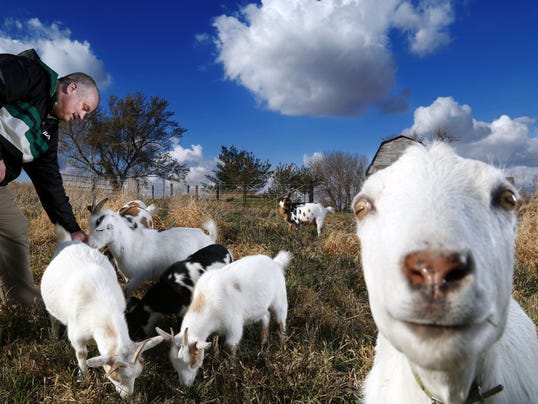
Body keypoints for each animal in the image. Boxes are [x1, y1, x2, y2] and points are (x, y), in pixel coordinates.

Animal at [40, 224, 163, 398]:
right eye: (115, 377)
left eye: (137, 375)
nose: (128, 397)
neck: (103, 308)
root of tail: (67, 241)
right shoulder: (77, 336)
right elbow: (82, 355)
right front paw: (83, 377)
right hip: (51, 306)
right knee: (54, 320)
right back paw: (54, 337)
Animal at [88, 198, 216, 296]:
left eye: (100, 228)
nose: (90, 244)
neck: (130, 241)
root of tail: (209, 238)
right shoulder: (127, 276)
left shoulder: (140, 275)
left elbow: (127, 290)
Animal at [153, 251, 292, 386]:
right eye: (174, 364)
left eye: (193, 361)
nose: (185, 385)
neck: (207, 300)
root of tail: (274, 262)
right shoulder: (215, 328)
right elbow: (214, 341)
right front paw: (215, 358)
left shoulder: (234, 328)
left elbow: (230, 347)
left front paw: (231, 372)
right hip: (257, 309)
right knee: (266, 316)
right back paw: (263, 343)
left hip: (280, 298)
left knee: (280, 322)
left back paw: (281, 347)